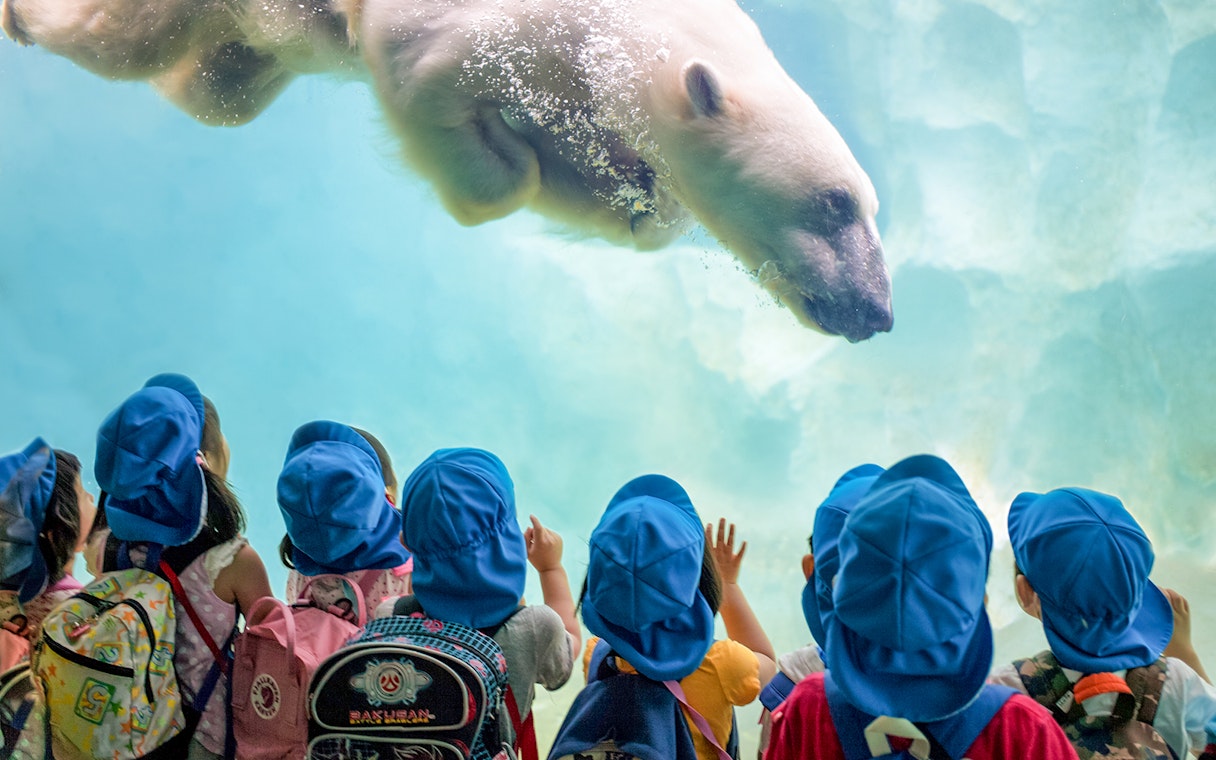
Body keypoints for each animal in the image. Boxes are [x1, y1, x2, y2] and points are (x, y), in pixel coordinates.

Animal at [1, 0, 893, 341]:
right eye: (835, 203)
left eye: (868, 206)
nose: (878, 312)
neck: (611, 31)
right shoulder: (490, 31)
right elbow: (426, 80)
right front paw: (504, 163)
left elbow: (639, 207)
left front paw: (616, 195)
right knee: (119, 39)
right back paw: (23, 18)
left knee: (220, 88)